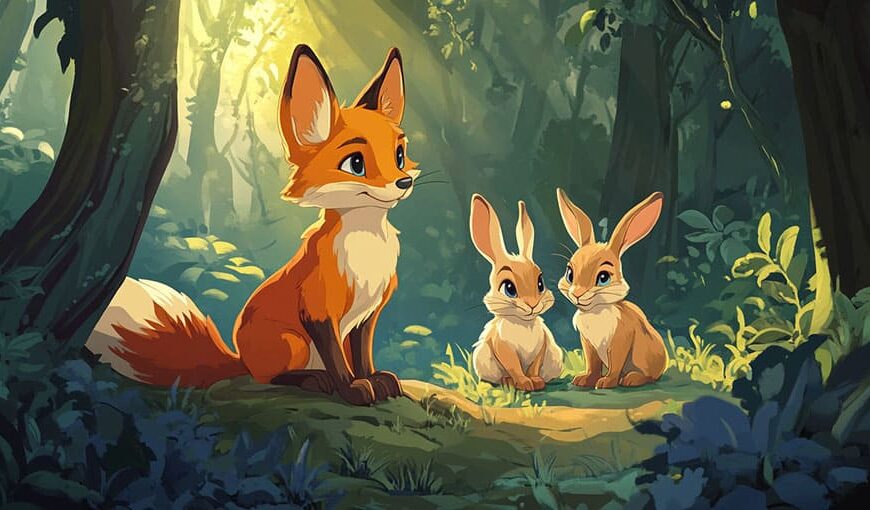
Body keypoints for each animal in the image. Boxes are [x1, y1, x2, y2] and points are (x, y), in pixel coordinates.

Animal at [86, 45, 419, 405]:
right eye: (356, 163)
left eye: (399, 155)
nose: (403, 182)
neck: (366, 249)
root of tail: (240, 358)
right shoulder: (318, 310)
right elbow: (338, 361)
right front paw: (352, 388)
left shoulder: (367, 315)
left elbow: (363, 356)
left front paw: (374, 379)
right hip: (293, 342)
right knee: (270, 377)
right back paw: (313, 380)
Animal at [468, 193, 563, 391]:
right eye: (509, 288)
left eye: (540, 283)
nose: (533, 305)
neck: (523, 324)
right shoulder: (503, 349)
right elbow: (514, 367)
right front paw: (524, 384)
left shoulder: (541, 347)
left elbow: (534, 366)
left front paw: (536, 382)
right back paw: (507, 381)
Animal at [555, 188, 668, 389]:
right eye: (570, 274)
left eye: (603, 278)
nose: (577, 294)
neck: (596, 310)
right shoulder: (588, 345)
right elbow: (592, 364)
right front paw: (584, 380)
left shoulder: (620, 341)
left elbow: (615, 364)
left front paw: (606, 382)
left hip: (642, 356)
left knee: (648, 376)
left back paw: (631, 379)